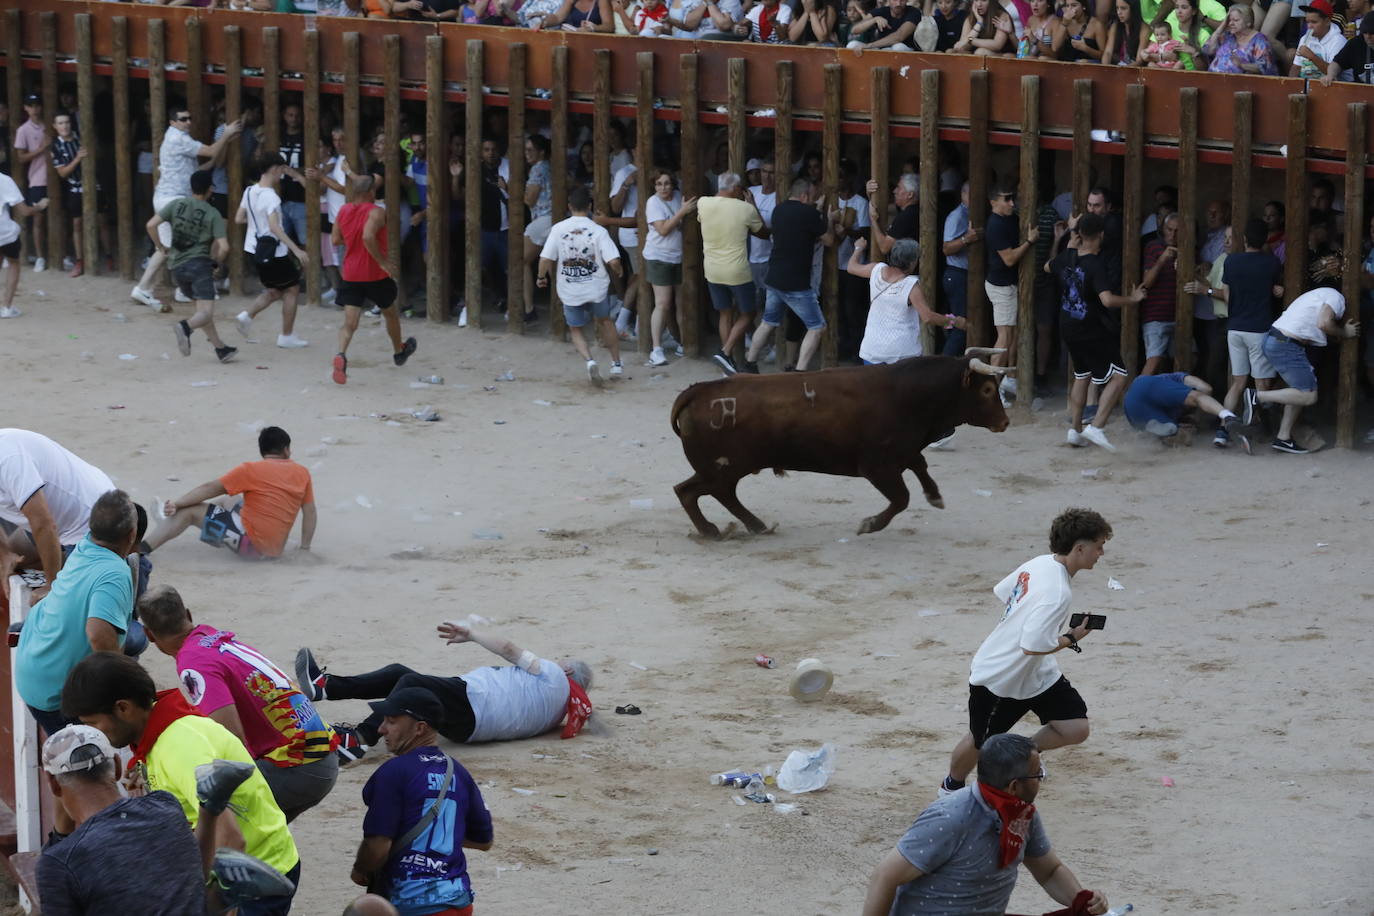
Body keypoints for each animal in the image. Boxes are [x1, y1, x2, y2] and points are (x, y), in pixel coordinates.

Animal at [673, 351, 1011, 538]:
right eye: (988, 389)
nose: (1005, 422)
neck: (908, 394)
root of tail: (697, 391)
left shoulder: (902, 453)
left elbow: (920, 464)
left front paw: (935, 496)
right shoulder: (877, 467)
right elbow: (901, 498)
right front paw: (869, 524)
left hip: (723, 468)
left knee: (696, 491)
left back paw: (750, 527)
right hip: (726, 468)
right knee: (704, 492)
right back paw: (721, 529)